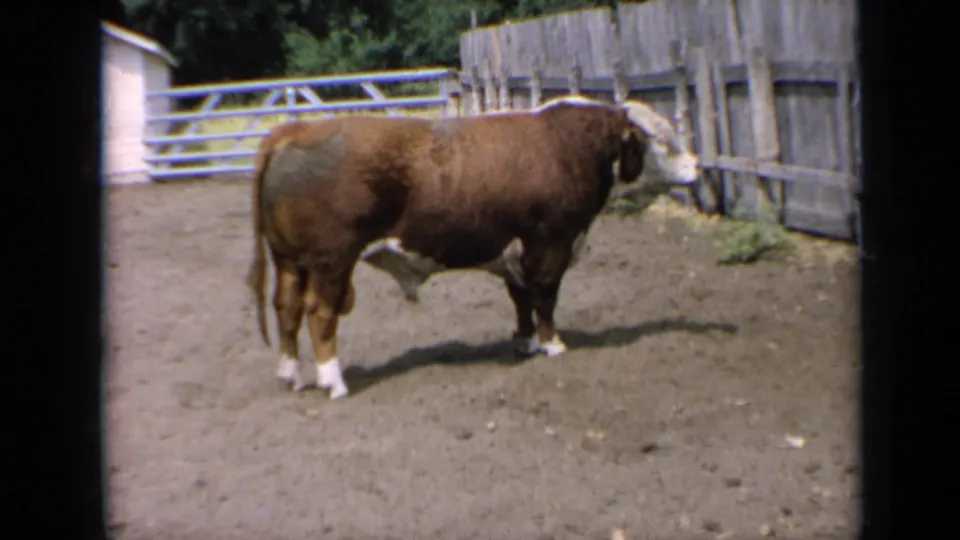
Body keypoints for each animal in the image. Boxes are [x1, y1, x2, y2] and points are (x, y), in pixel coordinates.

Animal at [246, 97, 696, 400]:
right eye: (662, 139)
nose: (698, 166)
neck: (567, 147)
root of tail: (296, 130)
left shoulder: (515, 254)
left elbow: (521, 300)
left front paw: (526, 342)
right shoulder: (550, 244)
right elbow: (545, 297)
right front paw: (553, 345)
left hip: (290, 260)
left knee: (287, 308)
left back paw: (291, 374)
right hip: (332, 261)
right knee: (320, 313)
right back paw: (332, 381)